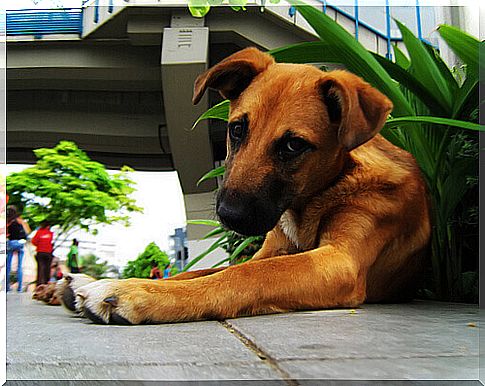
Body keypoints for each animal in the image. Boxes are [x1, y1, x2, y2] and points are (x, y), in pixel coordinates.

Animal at [62, 48, 430, 326]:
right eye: (237, 129)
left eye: (294, 145)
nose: (228, 216)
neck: (315, 198)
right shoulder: (269, 251)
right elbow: (206, 271)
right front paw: (113, 283)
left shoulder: (340, 261)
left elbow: (245, 276)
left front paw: (134, 293)